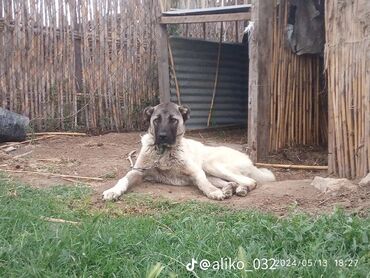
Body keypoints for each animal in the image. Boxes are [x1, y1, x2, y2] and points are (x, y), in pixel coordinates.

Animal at [102, 101, 276, 200]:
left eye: (173, 120)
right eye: (156, 120)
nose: (162, 136)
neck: (163, 153)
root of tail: (249, 159)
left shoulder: (196, 172)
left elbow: (203, 183)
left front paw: (213, 192)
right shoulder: (137, 171)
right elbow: (122, 180)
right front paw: (113, 191)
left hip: (211, 165)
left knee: (250, 181)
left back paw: (239, 190)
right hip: (213, 173)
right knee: (233, 181)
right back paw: (229, 189)